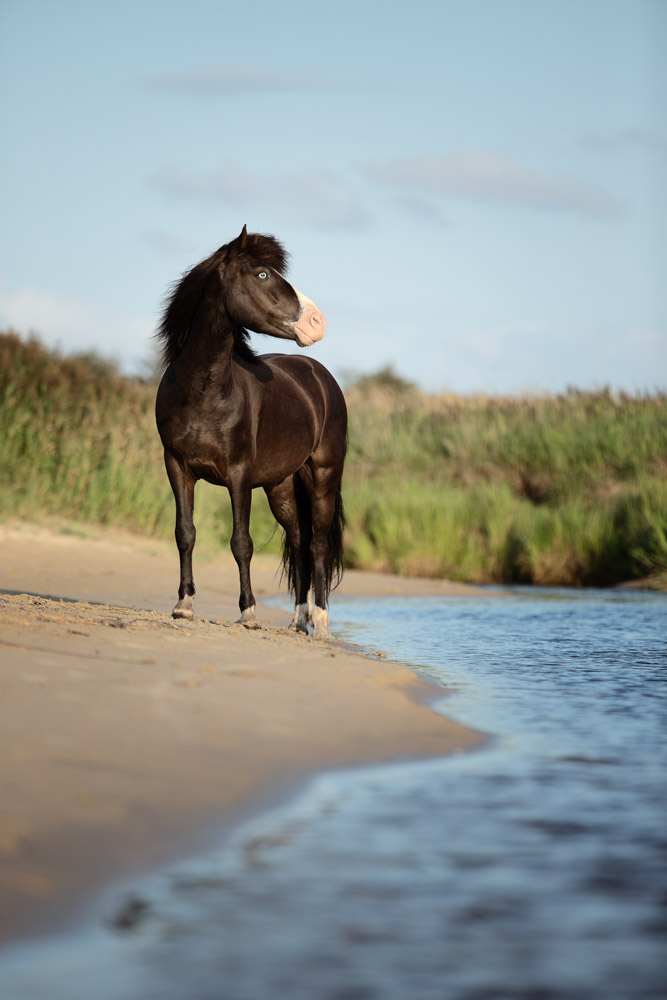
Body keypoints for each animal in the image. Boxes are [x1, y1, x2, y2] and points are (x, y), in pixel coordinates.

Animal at [154, 223, 348, 636]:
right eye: (261, 275)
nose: (317, 322)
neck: (204, 391)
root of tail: (319, 375)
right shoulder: (176, 466)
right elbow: (185, 533)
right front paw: (184, 605)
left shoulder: (238, 475)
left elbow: (242, 542)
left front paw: (249, 613)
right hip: (281, 487)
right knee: (298, 541)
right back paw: (298, 621)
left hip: (324, 475)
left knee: (318, 544)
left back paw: (322, 624)